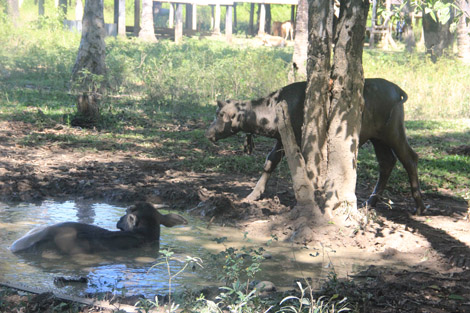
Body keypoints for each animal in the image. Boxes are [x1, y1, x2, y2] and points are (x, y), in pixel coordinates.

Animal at [206, 79, 426, 213]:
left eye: (221, 114)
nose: (209, 133)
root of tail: (398, 91)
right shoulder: (281, 139)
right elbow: (269, 163)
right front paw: (253, 194)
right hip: (378, 138)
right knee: (387, 163)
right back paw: (369, 202)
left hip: (393, 132)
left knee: (410, 158)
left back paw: (419, 206)